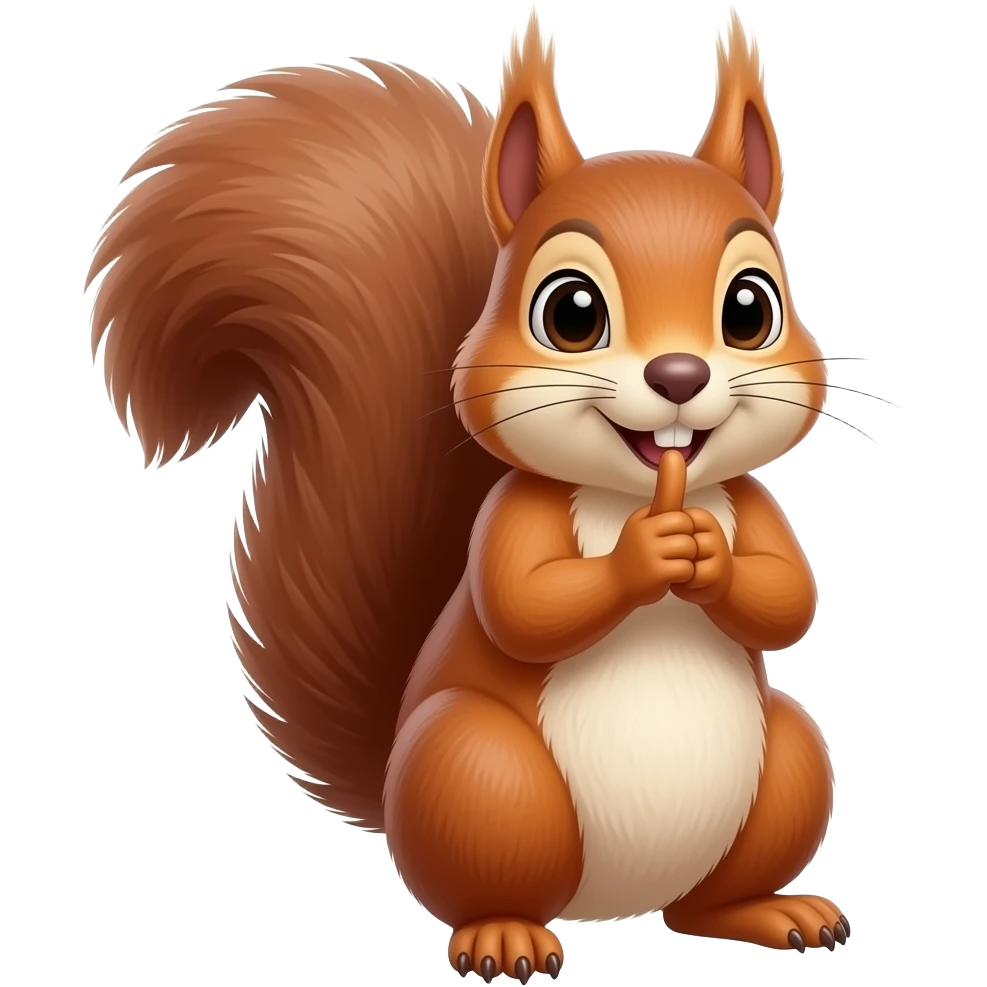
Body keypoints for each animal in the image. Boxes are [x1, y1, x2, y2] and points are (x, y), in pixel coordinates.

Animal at [84, 3, 848, 981]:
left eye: (751, 308)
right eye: (570, 313)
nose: (678, 375)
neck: (632, 489)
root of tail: (613, 908)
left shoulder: (756, 507)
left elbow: (788, 596)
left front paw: (706, 554)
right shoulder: (510, 515)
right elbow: (523, 604)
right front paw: (648, 553)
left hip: (785, 760)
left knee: (705, 897)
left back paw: (769, 909)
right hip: (478, 772)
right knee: (494, 881)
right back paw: (503, 936)